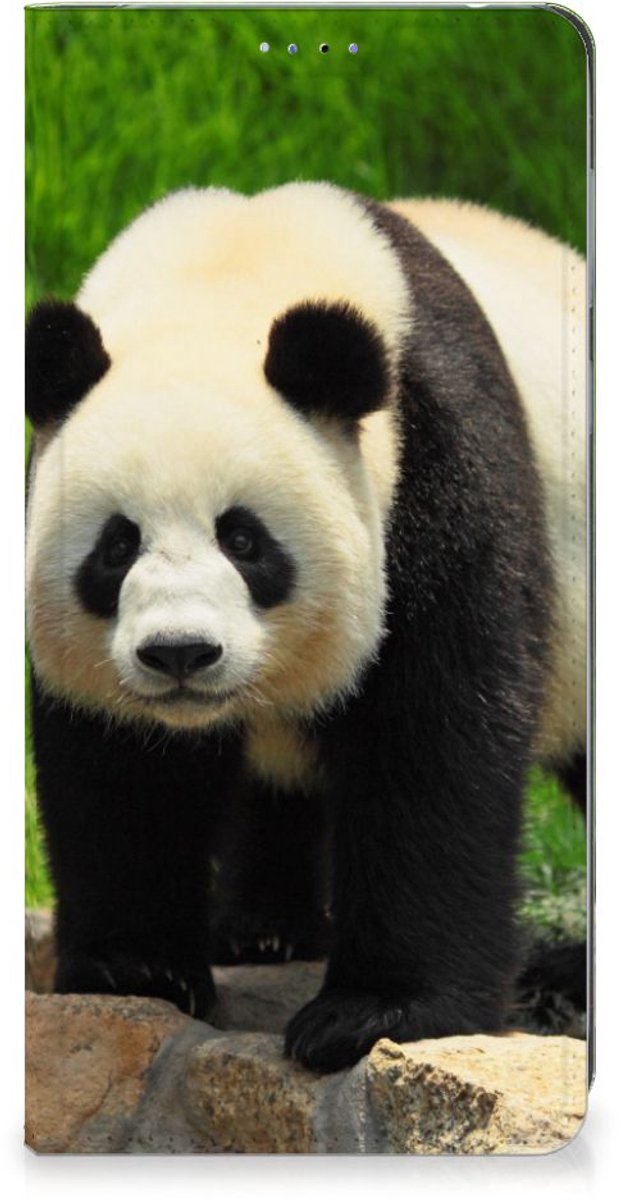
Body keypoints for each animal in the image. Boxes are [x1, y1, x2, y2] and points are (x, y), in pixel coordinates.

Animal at [25, 182, 587, 1073]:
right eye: (116, 546)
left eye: (244, 539)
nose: (179, 654)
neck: (227, 275)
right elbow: (121, 767)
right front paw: (134, 968)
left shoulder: (438, 464)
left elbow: (432, 735)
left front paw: (375, 1013)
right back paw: (261, 929)